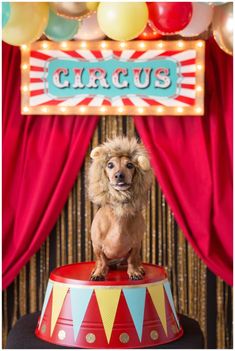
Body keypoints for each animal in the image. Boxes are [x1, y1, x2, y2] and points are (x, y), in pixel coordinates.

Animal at [88, 136, 152, 282]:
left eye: (130, 165)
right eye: (110, 165)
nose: (119, 175)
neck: (119, 210)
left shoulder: (136, 244)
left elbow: (132, 259)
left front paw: (134, 272)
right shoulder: (97, 246)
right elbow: (101, 261)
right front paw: (99, 273)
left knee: (135, 260)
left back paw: (139, 267)